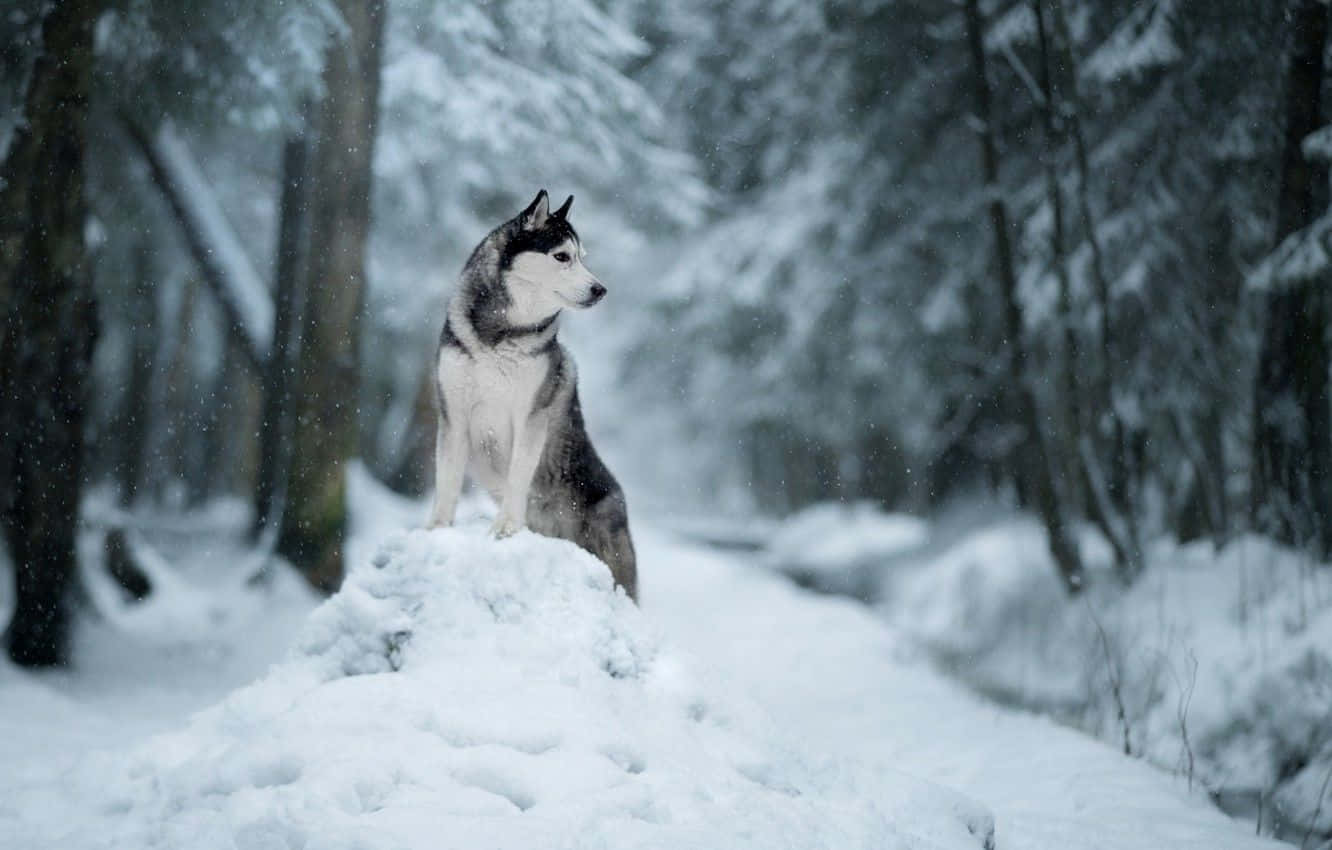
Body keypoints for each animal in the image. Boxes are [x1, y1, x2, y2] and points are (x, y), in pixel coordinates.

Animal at [426, 189, 634, 602]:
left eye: (582, 256)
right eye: (562, 256)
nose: (600, 289)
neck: (499, 335)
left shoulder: (530, 416)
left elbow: (518, 477)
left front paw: (506, 528)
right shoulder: (453, 414)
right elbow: (447, 480)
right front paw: (438, 530)